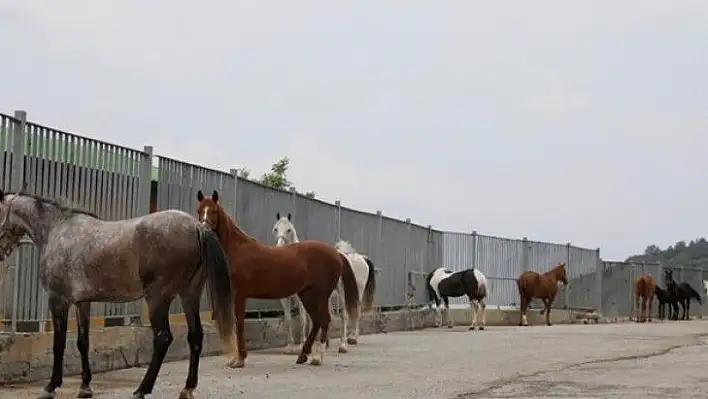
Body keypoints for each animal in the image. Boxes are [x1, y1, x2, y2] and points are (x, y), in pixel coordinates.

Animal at [0, 188, 235, 399]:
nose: (1, 253)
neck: (58, 231)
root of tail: (196, 227)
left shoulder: (58, 300)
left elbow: (59, 344)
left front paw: (51, 387)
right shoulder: (82, 303)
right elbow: (83, 342)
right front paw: (85, 387)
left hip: (158, 298)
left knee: (162, 338)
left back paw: (142, 389)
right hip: (189, 295)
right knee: (195, 336)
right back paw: (187, 389)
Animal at [272, 214, 310, 354]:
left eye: (289, 230)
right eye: (276, 229)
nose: (279, 247)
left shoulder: (300, 298)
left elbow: (302, 318)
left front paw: (302, 343)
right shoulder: (284, 298)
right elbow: (288, 320)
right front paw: (289, 345)